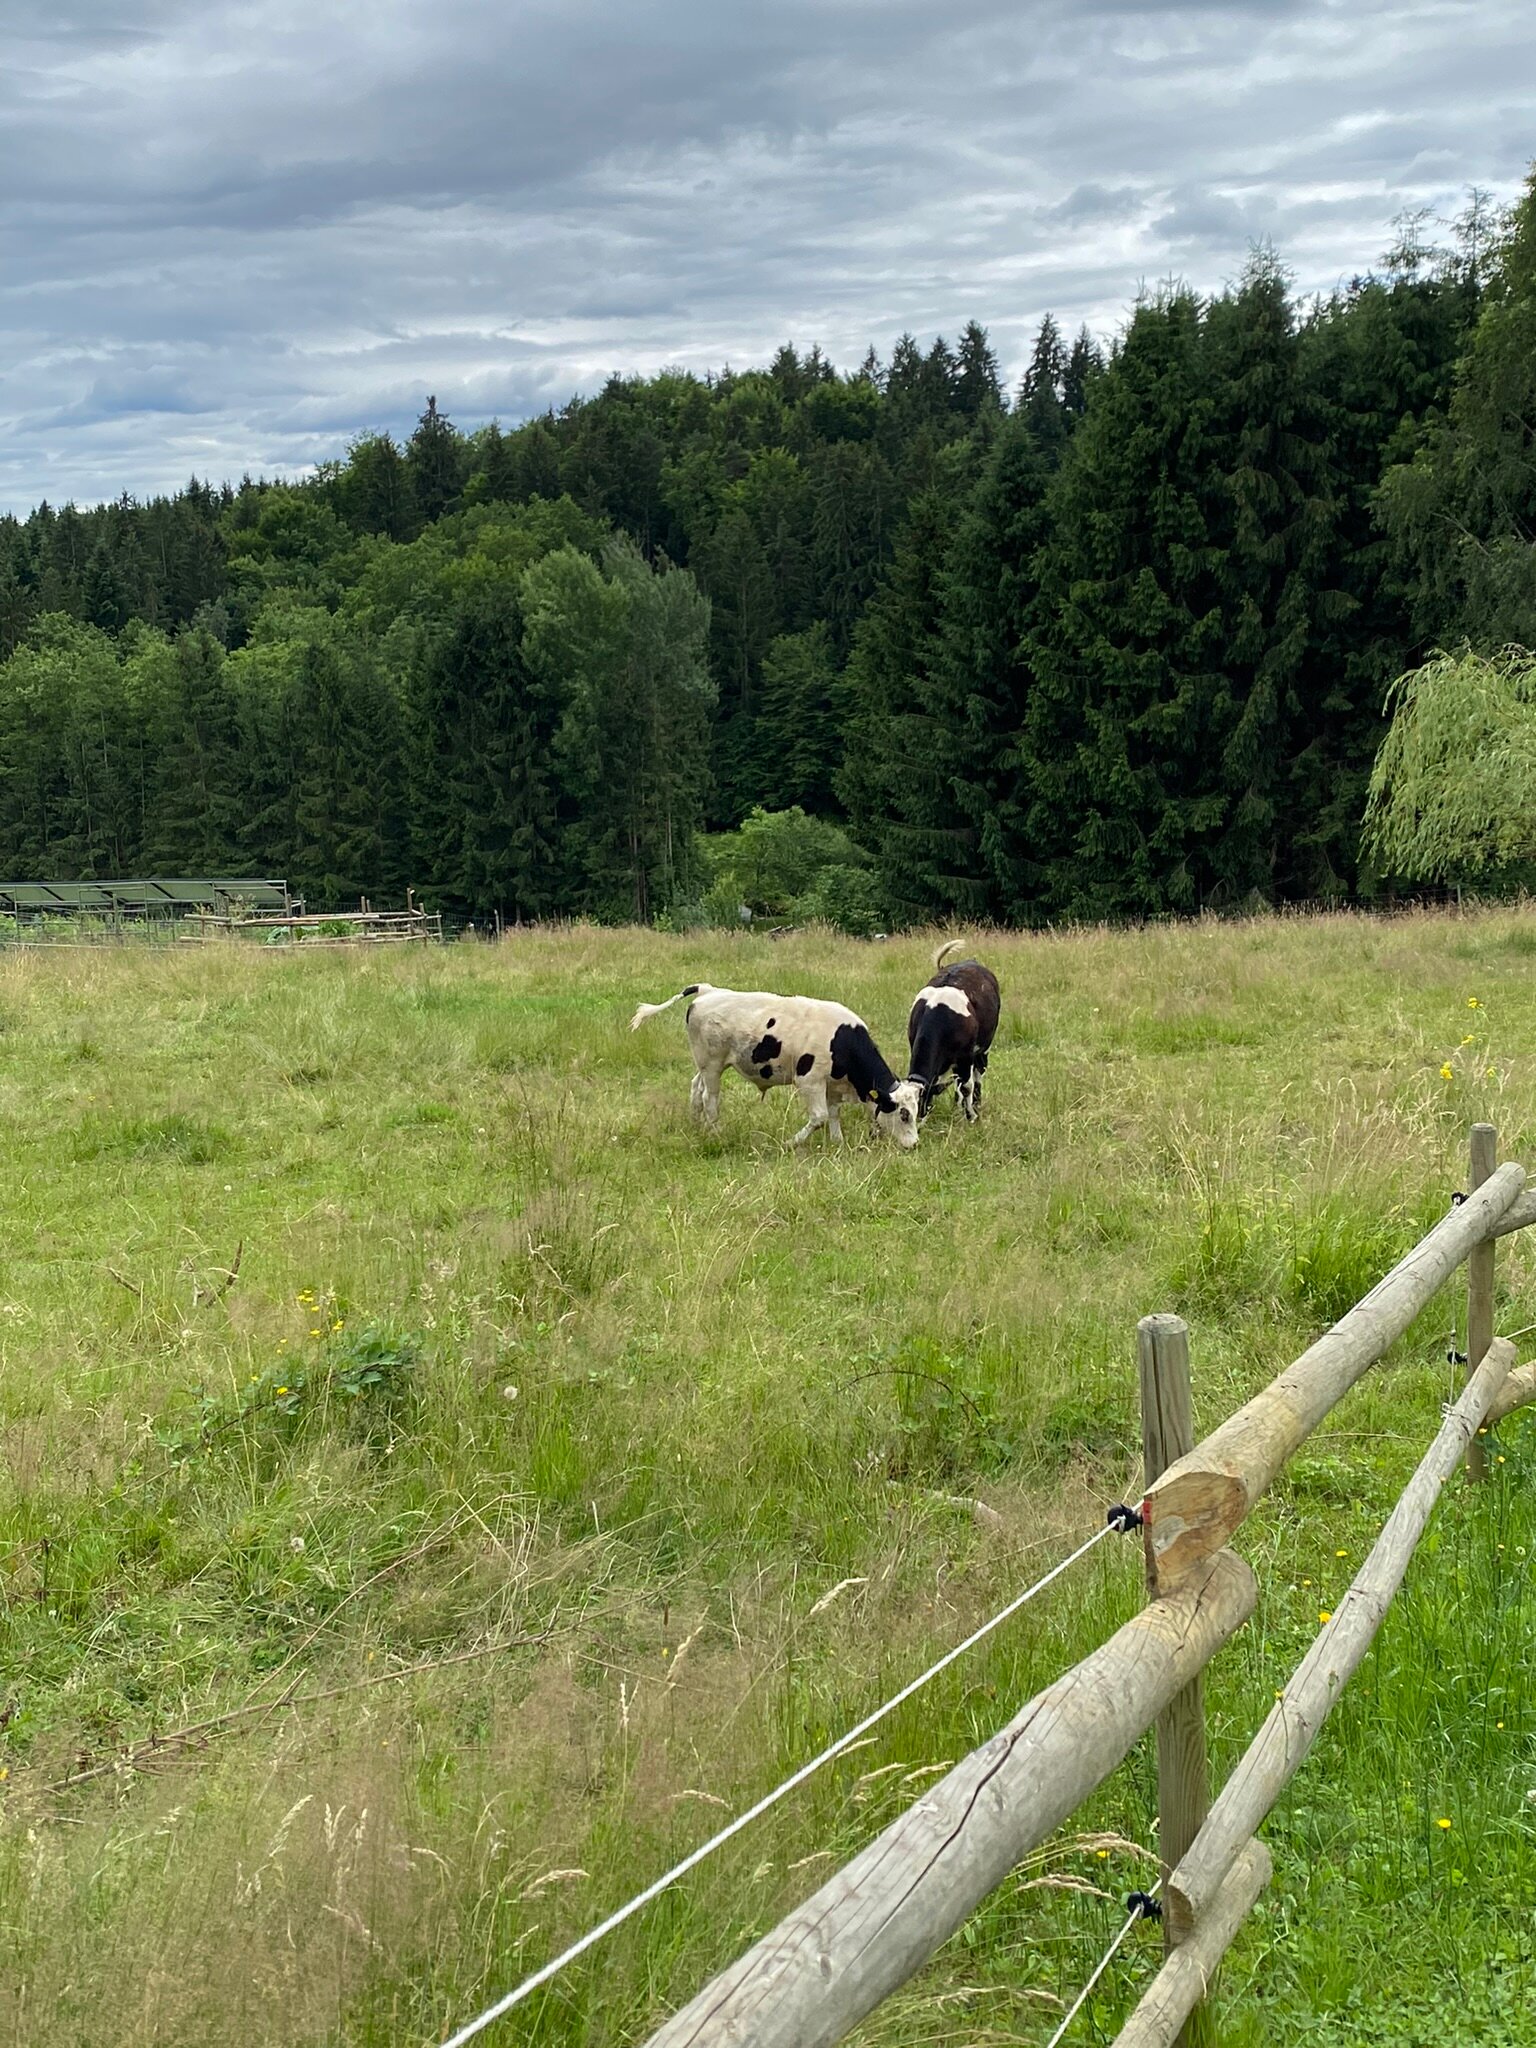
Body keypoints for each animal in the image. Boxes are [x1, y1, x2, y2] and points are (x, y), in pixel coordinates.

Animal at [630, 983, 923, 1148]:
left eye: (915, 1111)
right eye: (903, 1114)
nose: (914, 1144)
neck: (842, 1040)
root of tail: (708, 991)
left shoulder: (832, 1085)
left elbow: (833, 1114)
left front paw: (837, 1142)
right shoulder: (809, 1081)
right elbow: (819, 1117)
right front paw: (791, 1142)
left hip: (706, 1064)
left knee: (695, 1089)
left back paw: (696, 1125)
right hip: (711, 1064)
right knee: (709, 1098)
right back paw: (715, 1133)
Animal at [907, 940, 1002, 1122]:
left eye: (923, 1100)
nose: (918, 1122)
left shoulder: (966, 1055)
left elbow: (966, 1087)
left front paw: (971, 1116)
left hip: (983, 1047)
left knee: (978, 1074)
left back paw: (976, 1104)